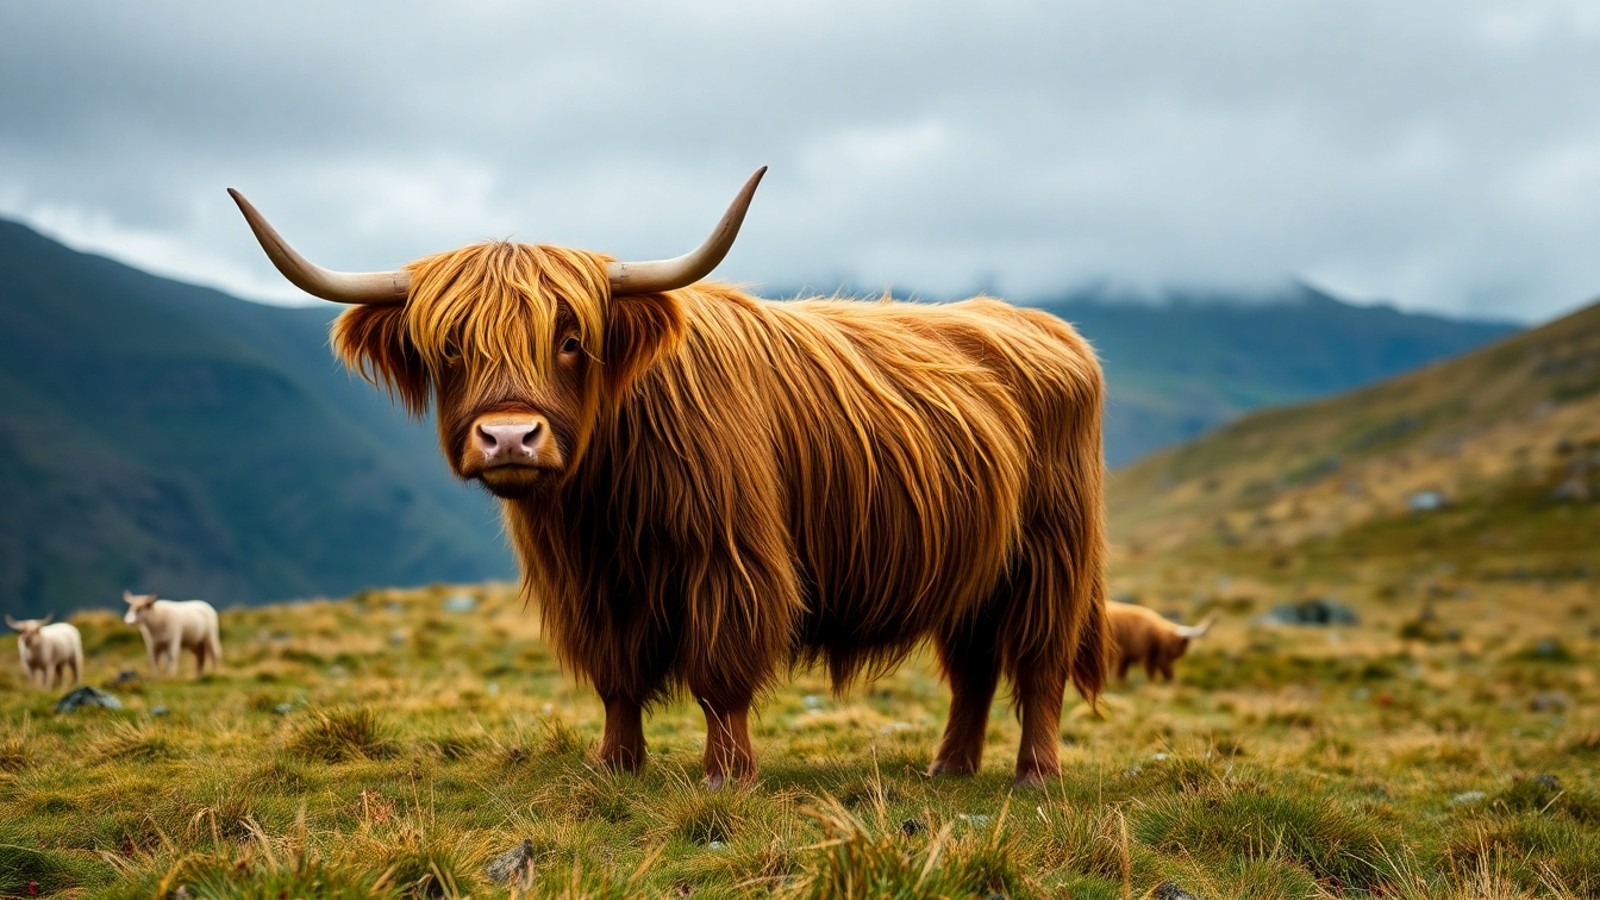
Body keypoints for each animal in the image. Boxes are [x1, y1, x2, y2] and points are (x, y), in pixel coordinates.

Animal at [228, 168, 1111, 786]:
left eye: (572, 339)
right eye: (449, 346)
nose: (509, 436)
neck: (600, 505)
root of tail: (1043, 325)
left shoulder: (729, 561)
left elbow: (720, 673)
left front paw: (727, 775)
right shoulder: (589, 587)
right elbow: (617, 677)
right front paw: (616, 764)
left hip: (1050, 556)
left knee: (1036, 666)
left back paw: (1035, 775)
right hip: (975, 569)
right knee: (973, 669)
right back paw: (949, 767)